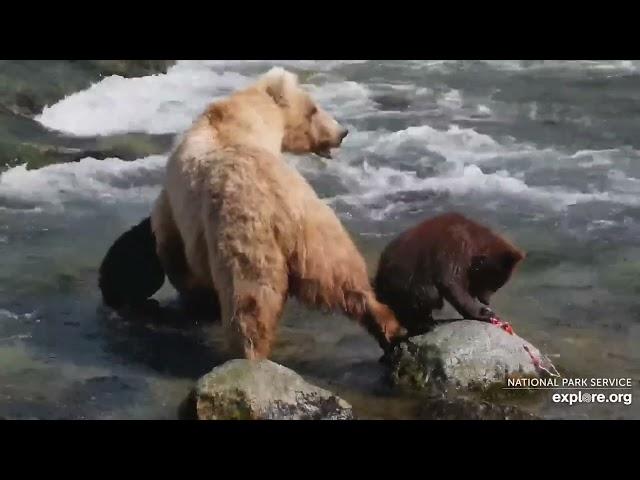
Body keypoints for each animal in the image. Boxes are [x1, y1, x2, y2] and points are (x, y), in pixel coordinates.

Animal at [150, 68, 404, 360]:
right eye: (314, 109)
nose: (342, 132)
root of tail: (282, 210)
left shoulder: (180, 205)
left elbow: (171, 244)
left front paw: (196, 298)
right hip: (318, 232)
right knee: (347, 280)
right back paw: (389, 329)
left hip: (247, 242)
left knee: (250, 303)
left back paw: (249, 354)